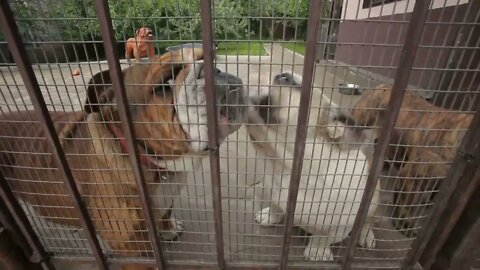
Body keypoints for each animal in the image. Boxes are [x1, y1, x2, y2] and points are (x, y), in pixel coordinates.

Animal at [0, 48, 246, 268]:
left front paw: (168, 229)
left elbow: (165, 212)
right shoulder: (131, 245)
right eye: (165, 83)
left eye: (209, 58)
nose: (214, 70)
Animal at [248, 71, 378, 262]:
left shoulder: (339, 224)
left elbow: (323, 237)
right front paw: (269, 216)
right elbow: (276, 206)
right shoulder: (272, 188)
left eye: (285, 79)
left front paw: (317, 252)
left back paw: (366, 235)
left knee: (368, 221)